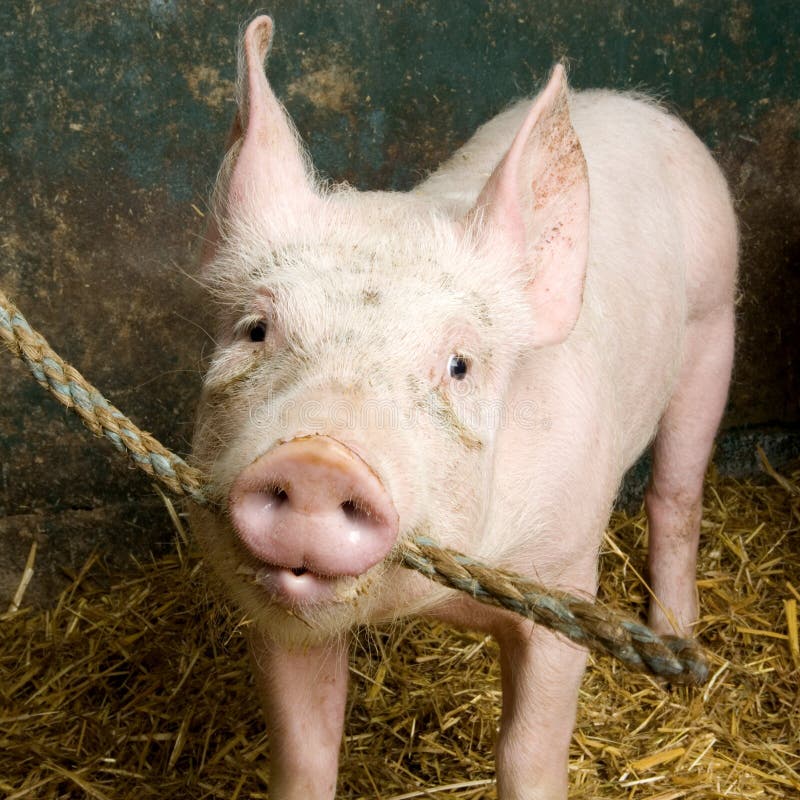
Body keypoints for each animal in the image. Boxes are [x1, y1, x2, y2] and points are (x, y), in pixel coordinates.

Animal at [189, 14, 736, 800]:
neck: (438, 604)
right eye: (257, 330)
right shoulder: (274, 614)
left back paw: (675, 643)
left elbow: (528, 752)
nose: (319, 458)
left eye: (459, 366)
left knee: (678, 493)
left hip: (713, 323)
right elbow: (305, 750)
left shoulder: (564, 581)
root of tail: (637, 104)